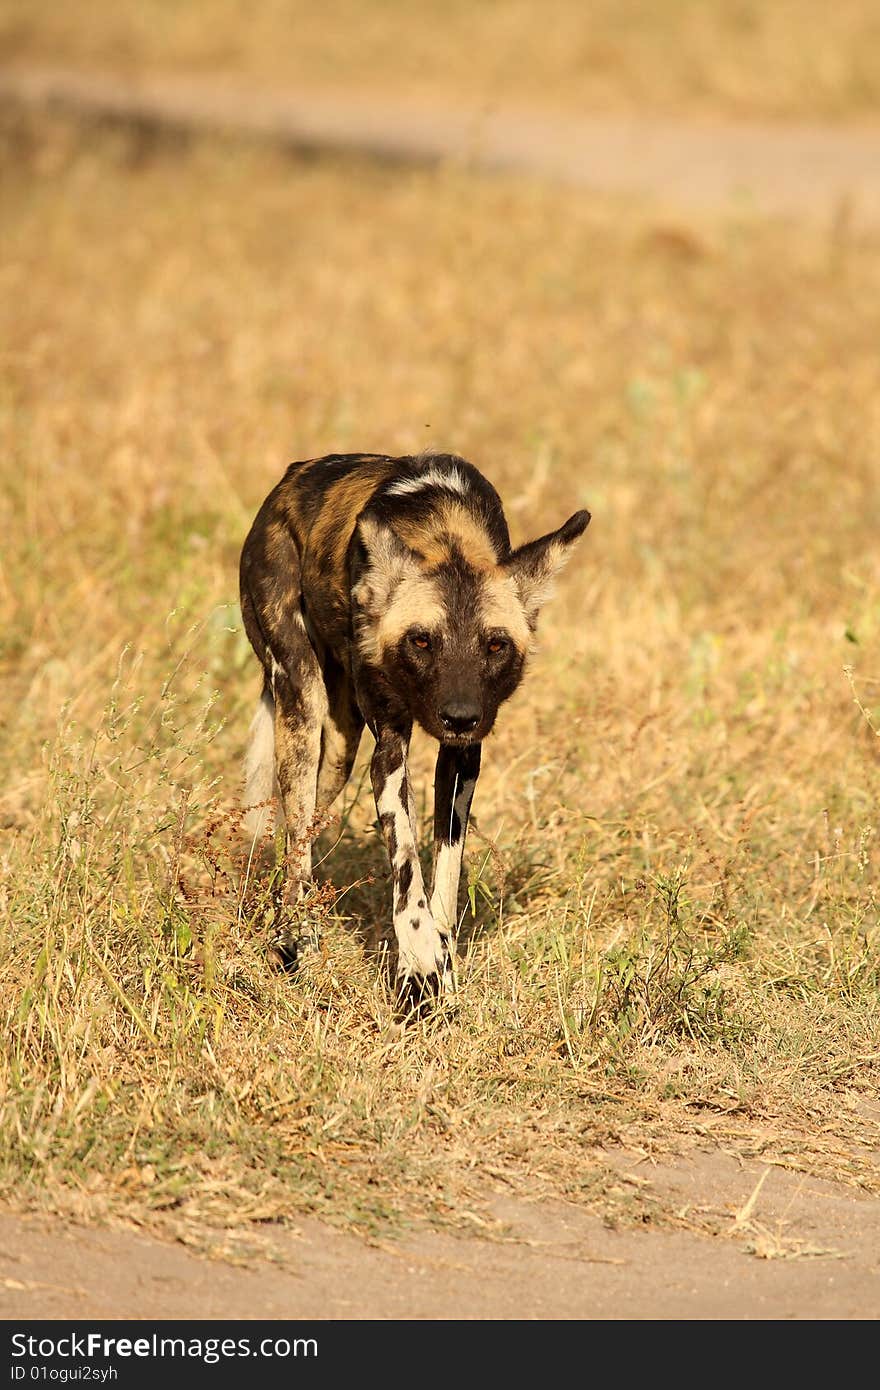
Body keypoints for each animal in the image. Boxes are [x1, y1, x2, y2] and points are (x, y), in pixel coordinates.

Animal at [239, 453, 589, 1000]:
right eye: (422, 641)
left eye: (495, 645)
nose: (460, 716)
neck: (445, 535)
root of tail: (292, 474)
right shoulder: (389, 751)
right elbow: (407, 863)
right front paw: (420, 966)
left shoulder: (463, 757)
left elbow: (445, 865)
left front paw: (442, 952)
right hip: (303, 707)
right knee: (295, 839)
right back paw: (294, 939)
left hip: (338, 751)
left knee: (308, 826)